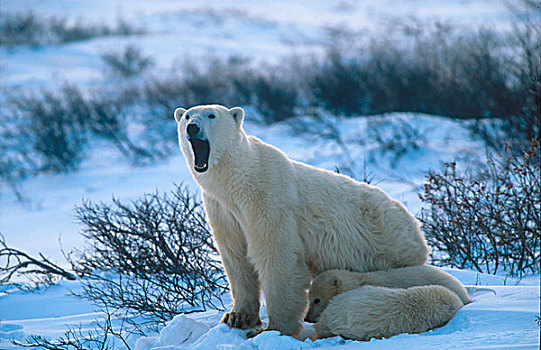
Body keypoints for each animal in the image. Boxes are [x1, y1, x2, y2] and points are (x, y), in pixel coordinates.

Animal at [175, 105, 428, 338]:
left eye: (211, 115)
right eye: (187, 116)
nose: (192, 127)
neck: (236, 181)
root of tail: (416, 228)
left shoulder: (268, 198)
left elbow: (277, 254)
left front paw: (273, 329)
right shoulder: (221, 209)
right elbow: (235, 255)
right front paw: (238, 317)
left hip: (388, 249)